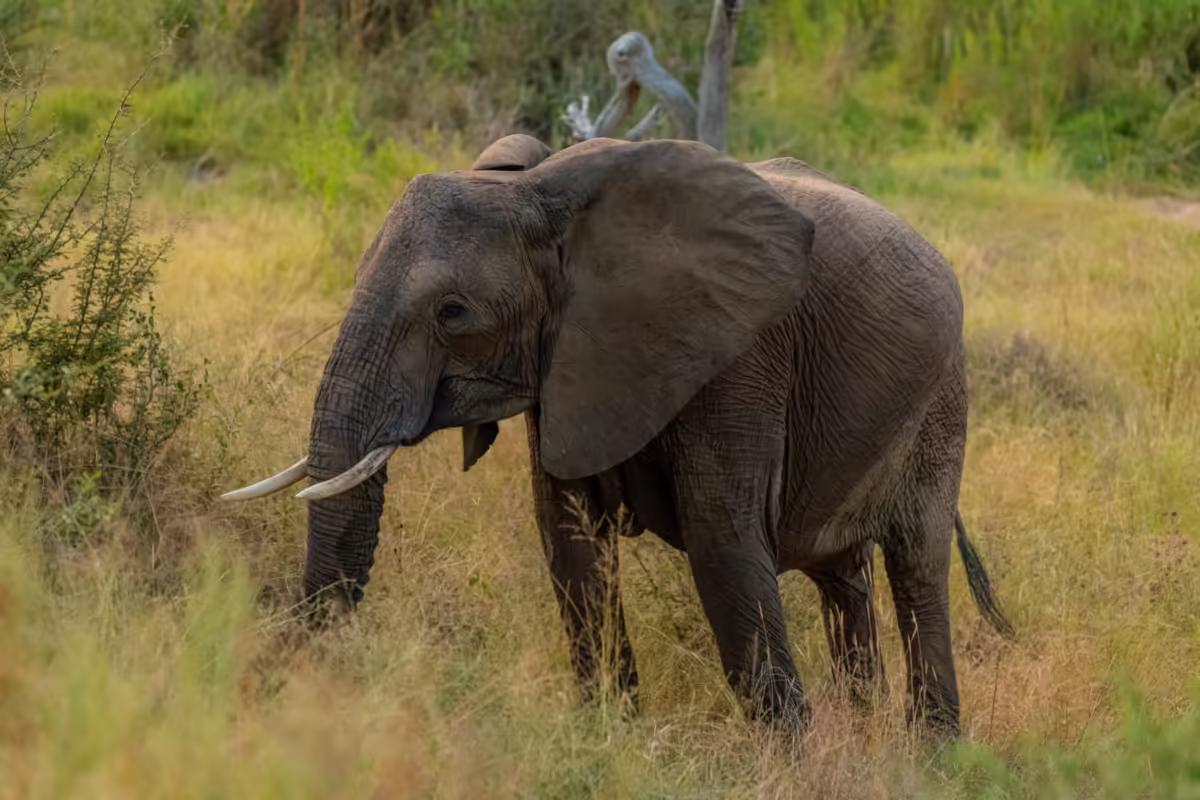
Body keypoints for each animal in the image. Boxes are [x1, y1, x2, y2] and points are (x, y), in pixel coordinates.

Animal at [224, 133, 1014, 735]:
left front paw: (792, 760)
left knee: (916, 565)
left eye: (452, 313)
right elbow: (568, 537)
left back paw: (927, 752)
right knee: (842, 576)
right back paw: (863, 730)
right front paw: (611, 737)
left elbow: (724, 543)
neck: (538, 192)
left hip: (942, 401)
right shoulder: (568, 356)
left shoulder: (737, 355)